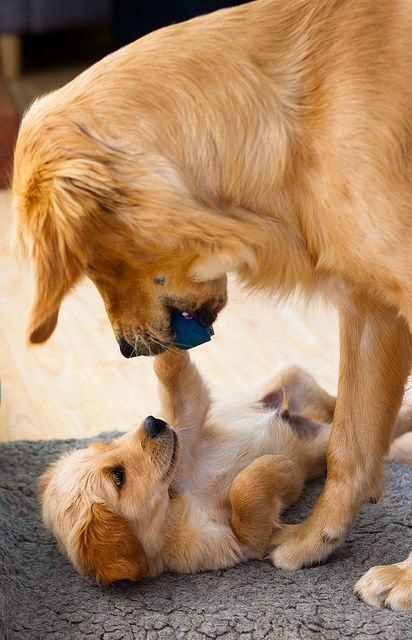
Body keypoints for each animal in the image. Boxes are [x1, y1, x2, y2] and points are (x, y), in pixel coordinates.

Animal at [39, 350, 334, 584]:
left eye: (106, 445)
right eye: (118, 477)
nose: (152, 422)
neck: (175, 494)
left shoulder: (184, 431)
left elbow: (177, 384)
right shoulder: (231, 543)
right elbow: (244, 501)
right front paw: (278, 466)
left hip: (291, 376)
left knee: (330, 398)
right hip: (322, 442)